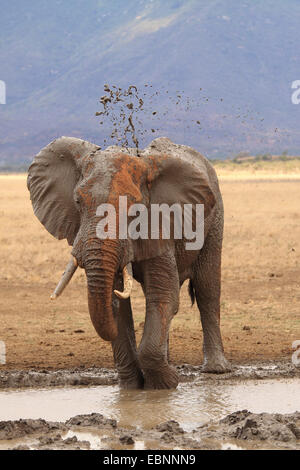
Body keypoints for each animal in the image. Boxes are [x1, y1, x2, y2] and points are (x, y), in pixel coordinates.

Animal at [27, 135, 230, 390]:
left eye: (135, 209)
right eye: (77, 201)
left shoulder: (159, 223)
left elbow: (163, 295)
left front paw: (166, 384)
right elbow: (118, 304)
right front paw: (132, 387)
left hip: (216, 217)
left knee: (207, 288)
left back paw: (216, 369)